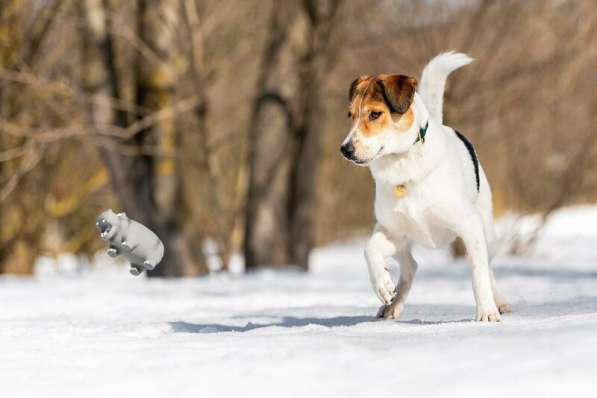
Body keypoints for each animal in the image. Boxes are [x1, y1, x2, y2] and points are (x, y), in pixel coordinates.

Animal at [342, 51, 510, 322]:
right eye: (351, 115)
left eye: (375, 114)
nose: (345, 149)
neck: (403, 164)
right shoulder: (392, 231)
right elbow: (369, 249)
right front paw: (382, 285)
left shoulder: (469, 225)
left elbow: (479, 273)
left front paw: (486, 312)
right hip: (402, 241)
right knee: (411, 266)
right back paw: (393, 304)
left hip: (487, 232)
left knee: (488, 266)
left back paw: (499, 302)